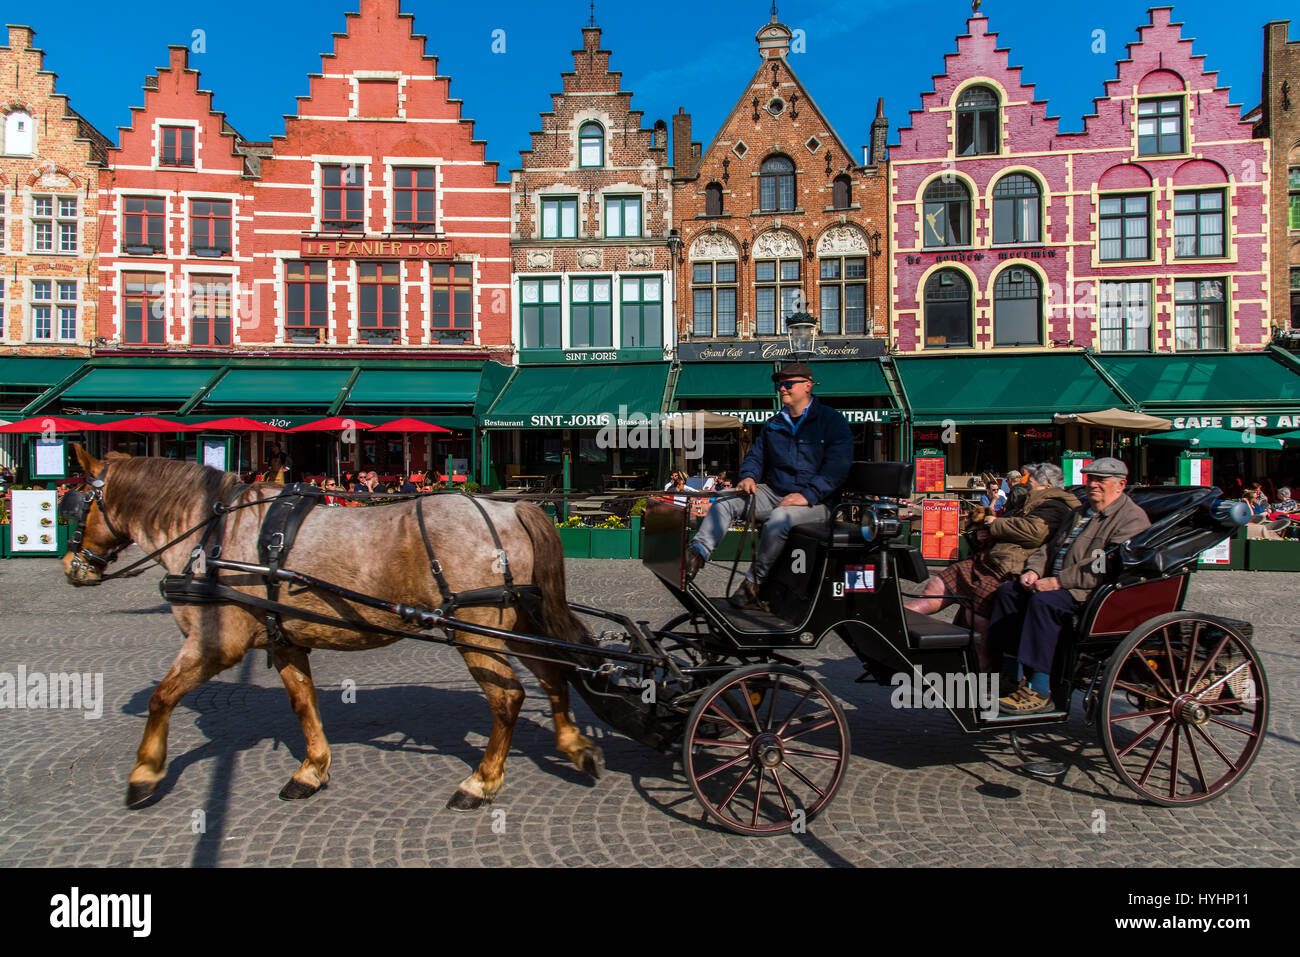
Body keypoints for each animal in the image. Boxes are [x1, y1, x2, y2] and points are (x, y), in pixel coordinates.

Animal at [59, 444, 603, 811]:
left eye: (74, 504)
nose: (70, 565)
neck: (211, 535)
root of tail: (508, 508)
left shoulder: (216, 645)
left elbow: (162, 697)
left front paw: (144, 774)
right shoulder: (284, 640)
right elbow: (304, 703)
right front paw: (312, 770)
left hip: (477, 633)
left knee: (508, 698)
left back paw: (480, 782)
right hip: (517, 623)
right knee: (554, 675)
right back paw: (575, 747)